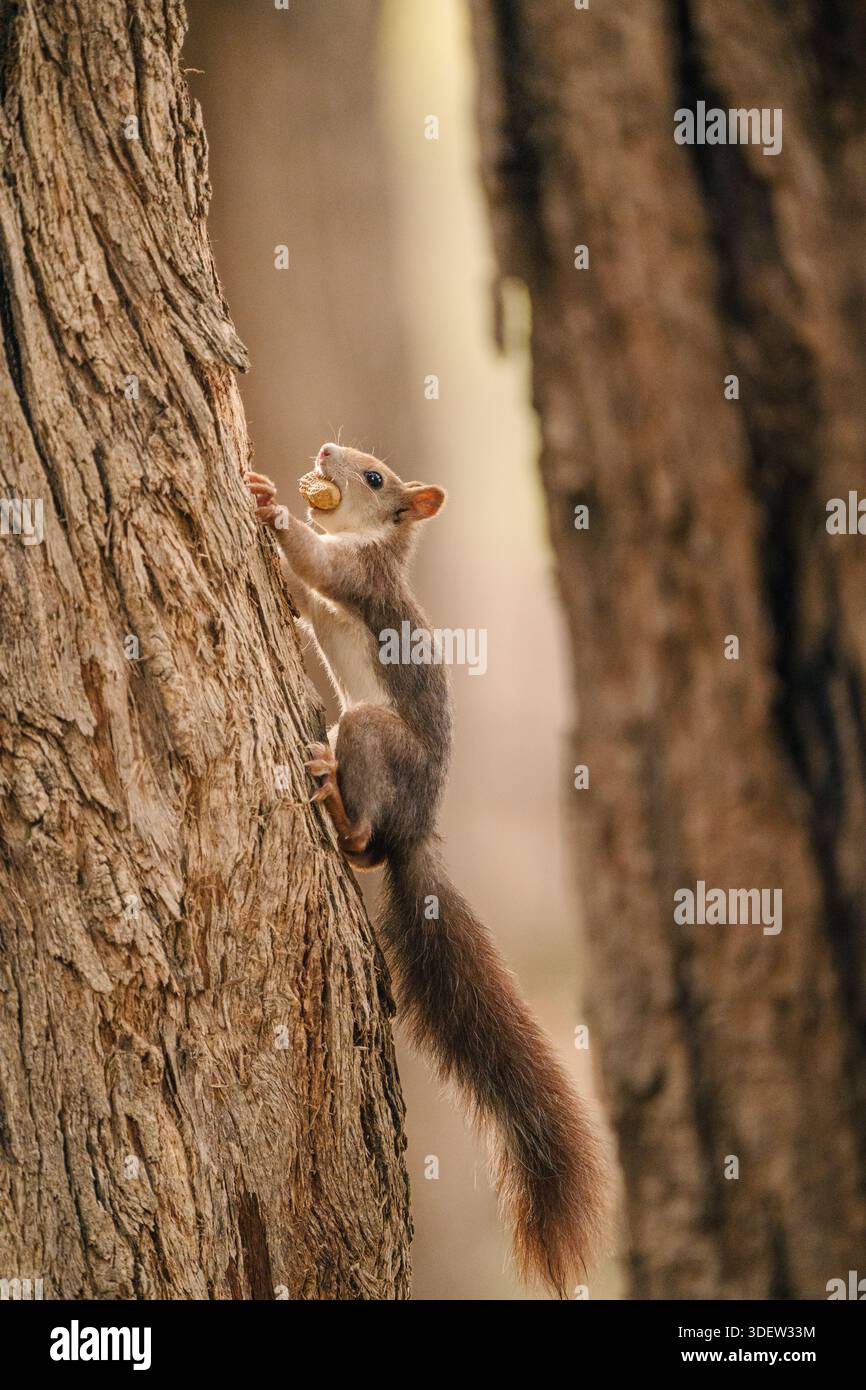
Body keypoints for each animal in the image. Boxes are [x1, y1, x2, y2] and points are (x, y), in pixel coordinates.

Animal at [245, 443, 608, 1296]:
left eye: (376, 477)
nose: (324, 454)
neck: (375, 538)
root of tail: (417, 829)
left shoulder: (359, 577)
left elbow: (315, 565)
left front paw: (269, 502)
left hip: (371, 732)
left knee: (369, 835)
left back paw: (338, 803)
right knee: (371, 851)